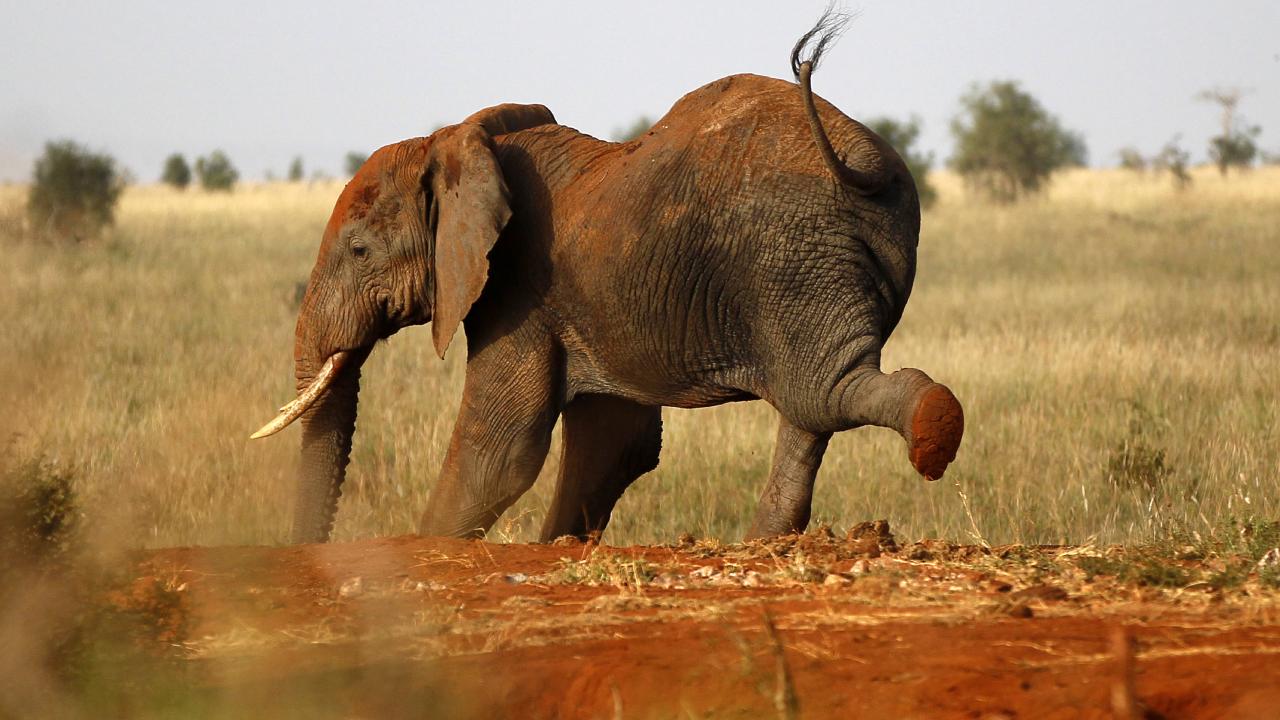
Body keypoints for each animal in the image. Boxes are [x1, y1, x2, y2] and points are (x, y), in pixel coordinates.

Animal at [254, 15, 962, 543]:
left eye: (359, 249)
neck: (453, 141)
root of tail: (863, 158)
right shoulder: (584, 302)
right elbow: (614, 443)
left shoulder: (520, 288)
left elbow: (500, 450)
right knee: (810, 404)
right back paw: (766, 542)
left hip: (791, 255)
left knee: (821, 392)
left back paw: (933, 432)